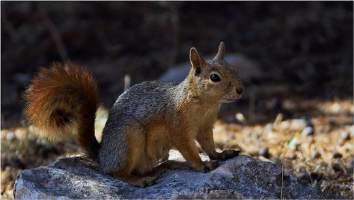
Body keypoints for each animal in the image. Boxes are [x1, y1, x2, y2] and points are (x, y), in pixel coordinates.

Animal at [25, 41, 243, 187]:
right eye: (214, 77)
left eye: (234, 69)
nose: (241, 90)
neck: (205, 104)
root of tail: (103, 156)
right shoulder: (178, 128)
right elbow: (189, 150)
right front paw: (201, 165)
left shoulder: (206, 127)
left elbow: (209, 145)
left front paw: (222, 154)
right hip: (130, 138)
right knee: (117, 173)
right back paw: (139, 180)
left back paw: (162, 167)